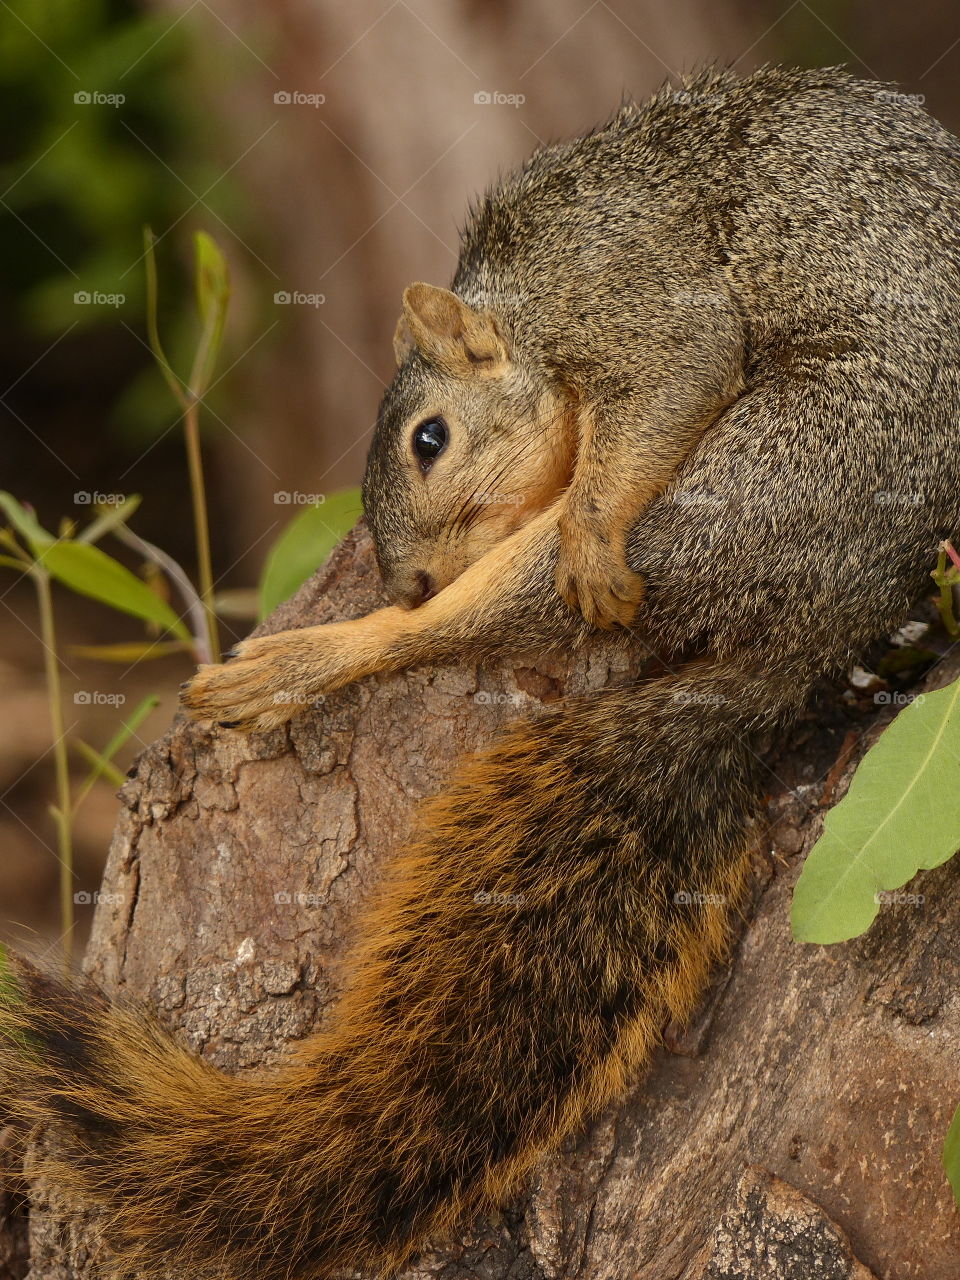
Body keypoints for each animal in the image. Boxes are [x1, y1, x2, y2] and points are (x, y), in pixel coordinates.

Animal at [1, 67, 960, 1280]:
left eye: (430, 439)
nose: (407, 577)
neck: (524, 301)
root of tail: (818, 636)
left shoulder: (640, 294)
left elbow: (675, 374)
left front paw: (589, 532)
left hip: (765, 474)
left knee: (495, 609)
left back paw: (308, 659)